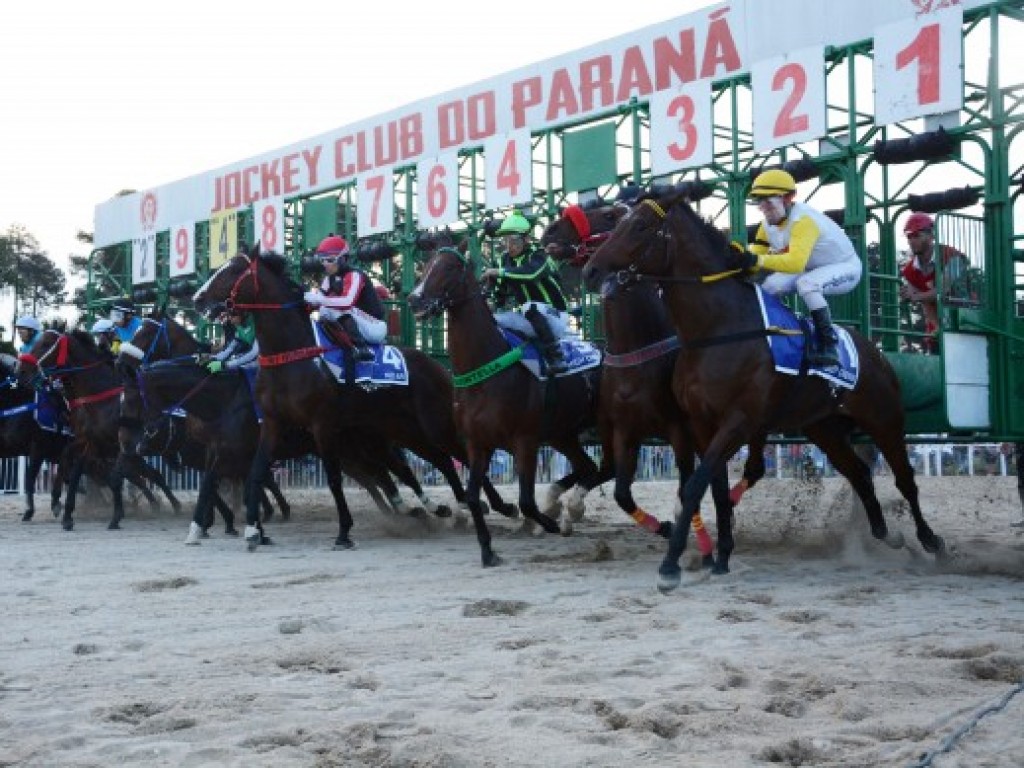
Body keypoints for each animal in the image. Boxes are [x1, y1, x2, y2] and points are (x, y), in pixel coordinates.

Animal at [191, 243, 516, 557]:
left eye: (233, 271)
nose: (197, 298)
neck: (293, 355)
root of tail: (437, 366)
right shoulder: (272, 423)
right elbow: (256, 473)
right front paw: (251, 532)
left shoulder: (322, 424)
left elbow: (334, 480)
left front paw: (344, 533)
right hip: (401, 429)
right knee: (440, 459)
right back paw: (460, 505)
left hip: (434, 422)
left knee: (461, 455)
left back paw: (499, 506)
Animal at [403, 243, 602, 569]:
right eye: (426, 265)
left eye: (449, 268)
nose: (415, 298)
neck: (486, 370)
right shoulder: (477, 443)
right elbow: (473, 496)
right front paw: (488, 550)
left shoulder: (525, 441)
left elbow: (526, 501)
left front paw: (547, 523)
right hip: (562, 434)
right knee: (588, 466)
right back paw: (566, 506)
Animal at [581, 189, 946, 593]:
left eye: (640, 226)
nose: (590, 271)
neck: (717, 330)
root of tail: (876, 352)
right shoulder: (701, 423)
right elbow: (716, 488)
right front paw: (721, 558)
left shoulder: (738, 421)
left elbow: (694, 486)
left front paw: (671, 566)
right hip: (825, 428)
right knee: (860, 474)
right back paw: (886, 534)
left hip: (885, 420)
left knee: (905, 478)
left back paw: (931, 540)